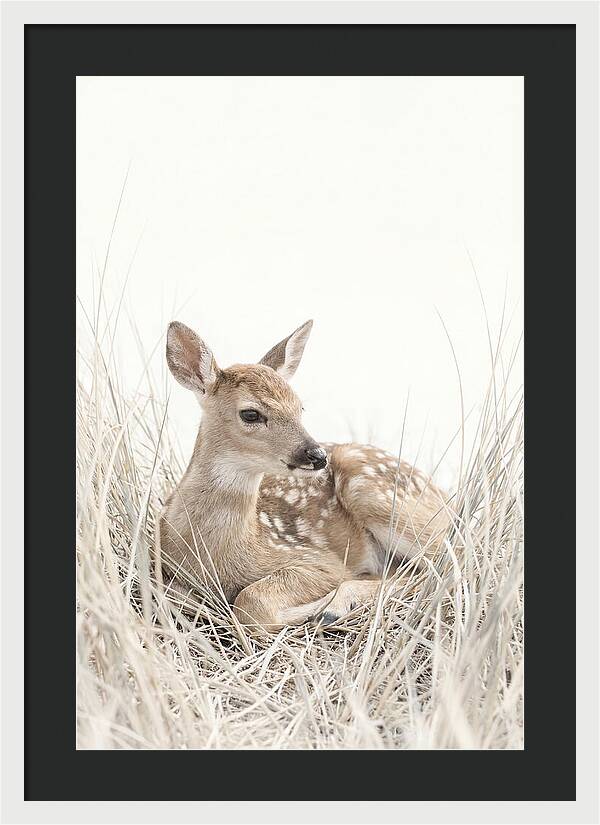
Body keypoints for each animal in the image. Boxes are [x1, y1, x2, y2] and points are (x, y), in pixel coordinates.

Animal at [159, 319, 450, 633]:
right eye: (250, 414)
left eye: (300, 407)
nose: (317, 455)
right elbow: (175, 596)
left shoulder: (319, 560)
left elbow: (252, 603)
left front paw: (312, 611)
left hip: (373, 492)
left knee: (445, 562)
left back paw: (334, 608)